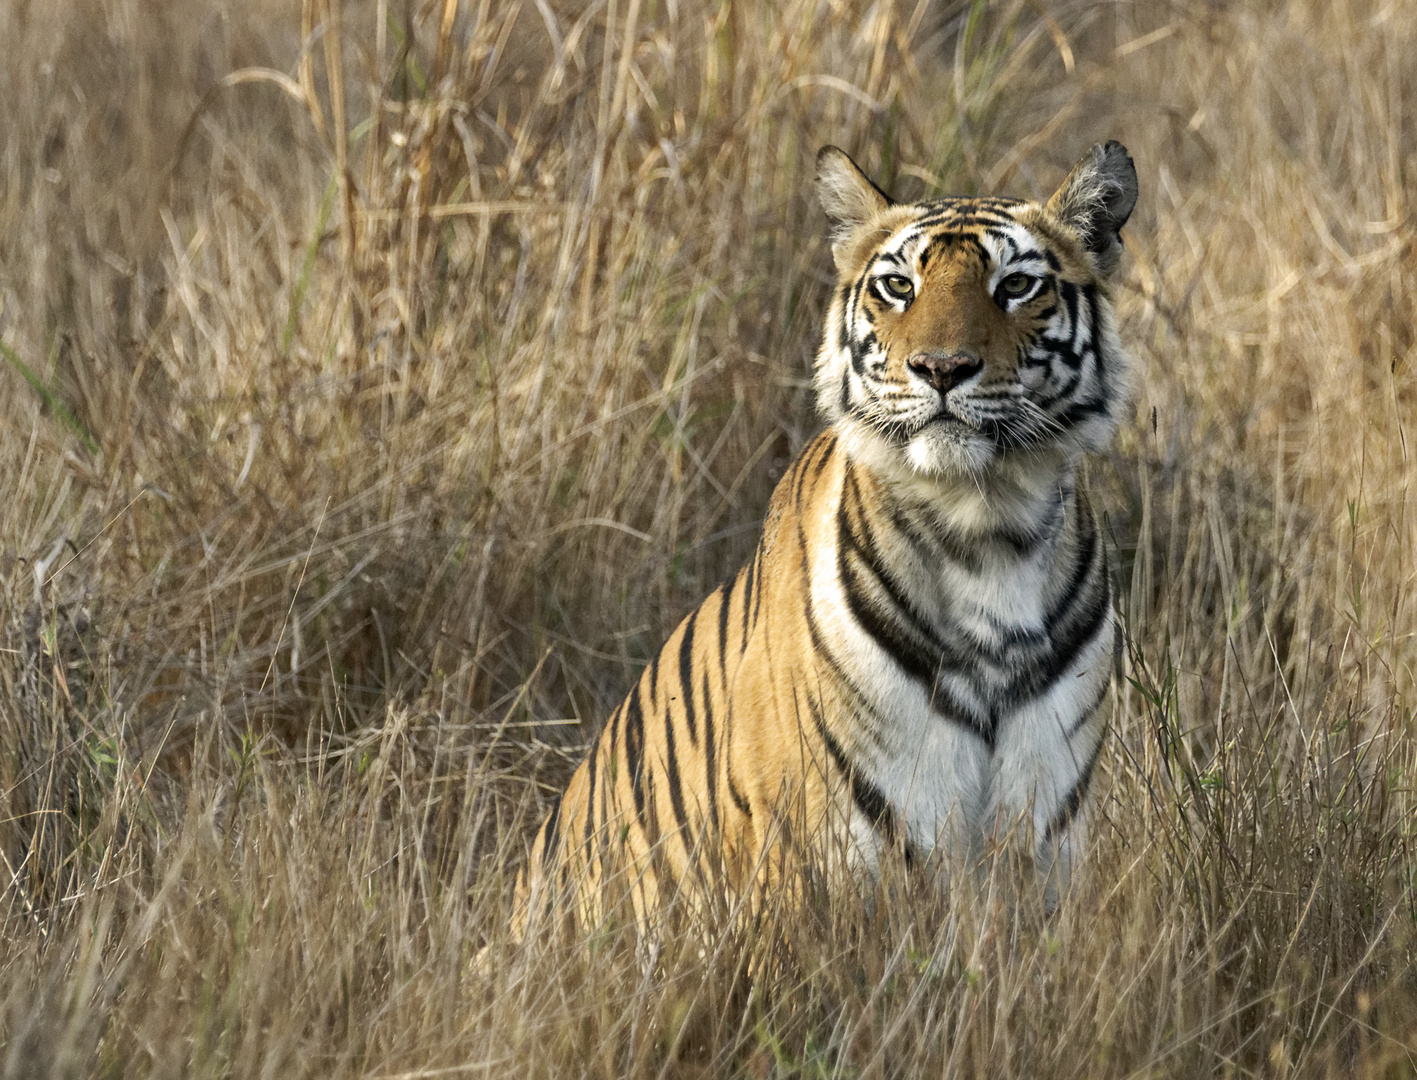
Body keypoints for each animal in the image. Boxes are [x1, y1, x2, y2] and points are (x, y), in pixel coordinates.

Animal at [515, 141, 1133, 935]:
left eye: (1017, 285)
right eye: (898, 286)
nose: (940, 368)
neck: (987, 529)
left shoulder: (1043, 839)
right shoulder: (824, 855)